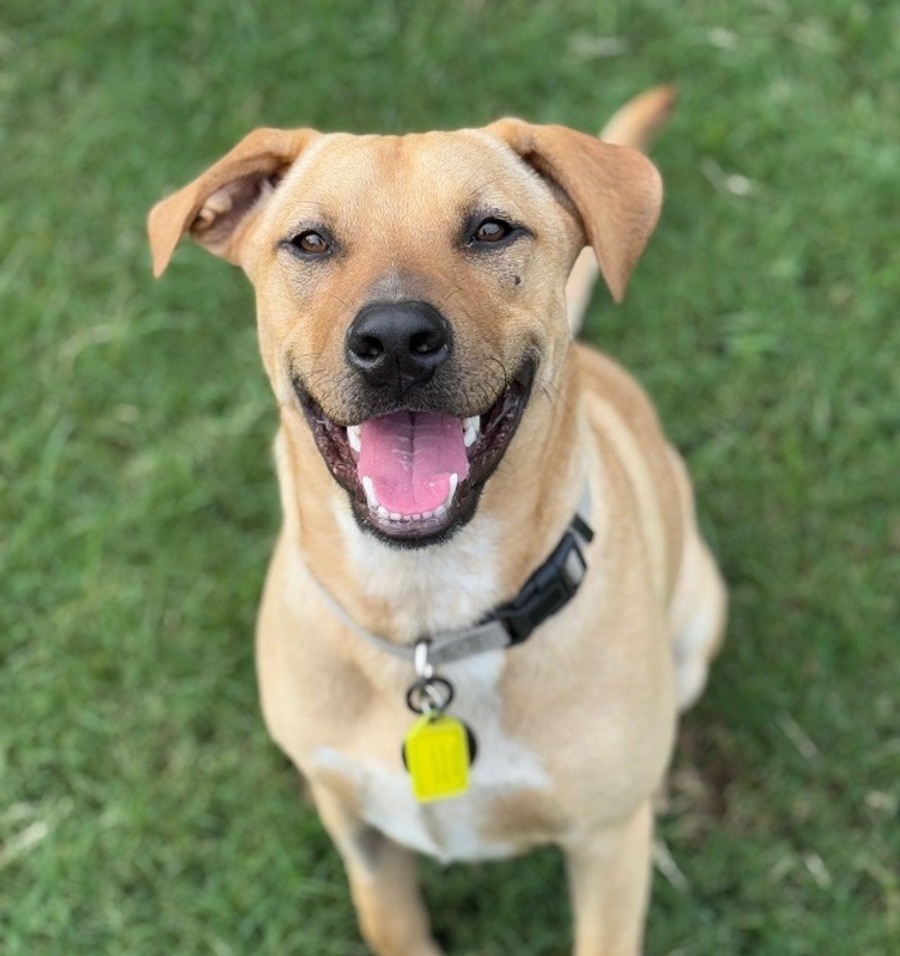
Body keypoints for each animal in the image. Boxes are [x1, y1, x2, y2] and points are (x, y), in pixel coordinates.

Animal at [148, 86, 726, 956]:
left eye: (491, 229)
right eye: (310, 241)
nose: (393, 340)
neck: (429, 612)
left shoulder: (603, 851)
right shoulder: (357, 827)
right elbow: (391, 918)